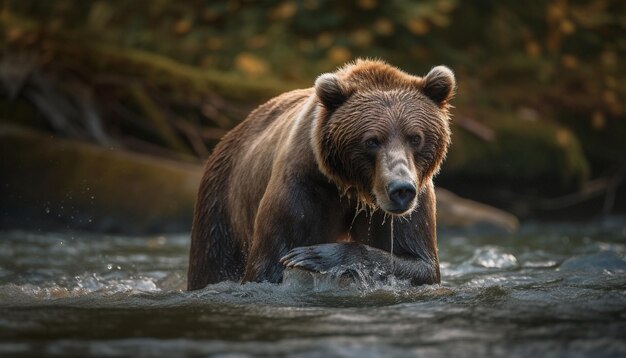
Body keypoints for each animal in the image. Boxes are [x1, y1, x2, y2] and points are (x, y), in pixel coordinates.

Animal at [185, 59, 454, 290]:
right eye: (372, 140)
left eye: (415, 137)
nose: (400, 189)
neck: (351, 187)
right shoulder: (303, 186)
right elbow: (268, 264)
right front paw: (298, 256)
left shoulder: (411, 200)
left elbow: (418, 263)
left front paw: (315, 255)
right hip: (222, 206)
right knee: (214, 260)